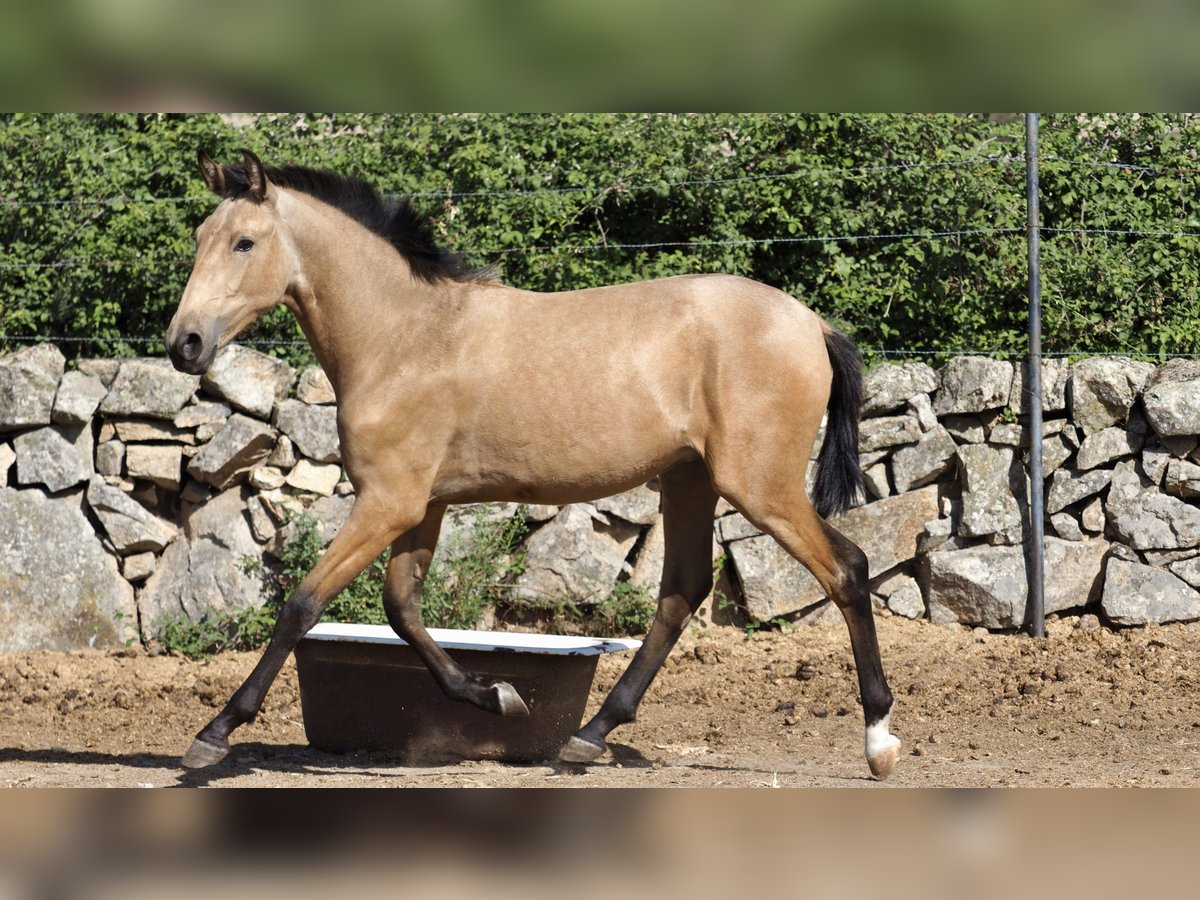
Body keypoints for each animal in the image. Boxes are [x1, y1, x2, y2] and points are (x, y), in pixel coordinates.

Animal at [166, 151, 902, 777]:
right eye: (200, 235)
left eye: (244, 242)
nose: (184, 344)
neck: (405, 336)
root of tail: (812, 323)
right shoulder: (420, 505)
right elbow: (402, 608)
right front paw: (497, 696)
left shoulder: (387, 502)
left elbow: (302, 604)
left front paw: (213, 735)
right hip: (690, 480)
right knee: (681, 592)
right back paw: (587, 736)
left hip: (759, 485)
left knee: (847, 569)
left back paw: (880, 742)